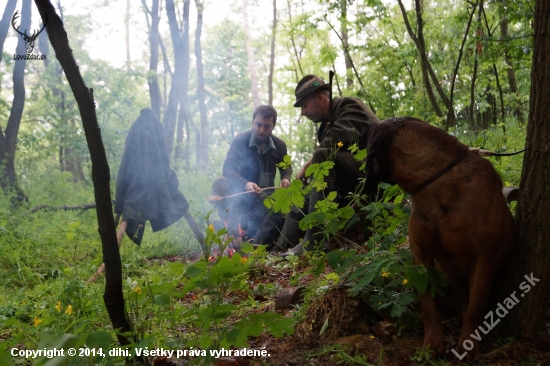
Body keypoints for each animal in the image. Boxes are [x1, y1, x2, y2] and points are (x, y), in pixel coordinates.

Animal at [366, 117, 516, 358]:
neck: (436, 179)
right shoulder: (422, 258)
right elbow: (428, 307)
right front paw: (432, 344)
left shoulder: (484, 260)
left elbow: (475, 308)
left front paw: (468, 344)